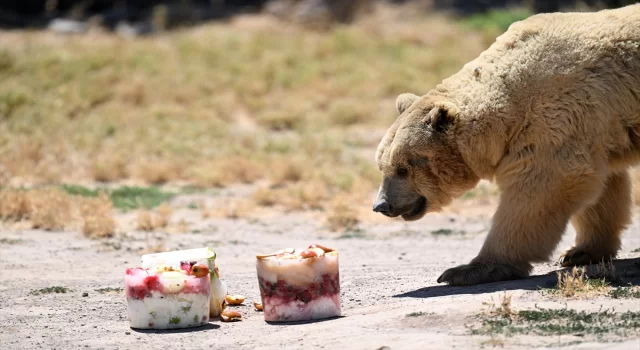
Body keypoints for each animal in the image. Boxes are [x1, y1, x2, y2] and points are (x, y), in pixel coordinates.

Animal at [372, 4, 640, 286]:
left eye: (403, 168)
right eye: (382, 165)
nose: (381, 205)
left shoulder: (558, 115)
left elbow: (544, 187)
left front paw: (469, 270)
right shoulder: (596, 126)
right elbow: (603, 189)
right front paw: (580, 251)